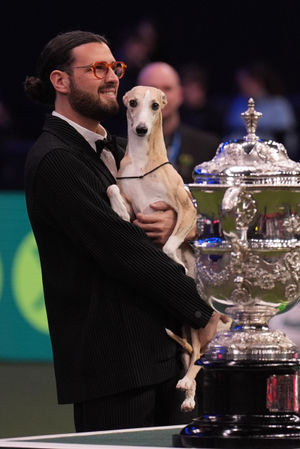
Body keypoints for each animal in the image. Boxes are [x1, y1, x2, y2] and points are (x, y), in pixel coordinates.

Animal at [106, 86, 200, 412]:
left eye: (156, 105)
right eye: (132, 103)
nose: (141, 129)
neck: (142, 166)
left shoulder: (187, 209)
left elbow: (172, 243)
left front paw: (177, 261)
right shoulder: (129, 196)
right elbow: (112, 189)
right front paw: (120, 211)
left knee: (200, 356)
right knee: (192, 358)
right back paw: (188, 395)